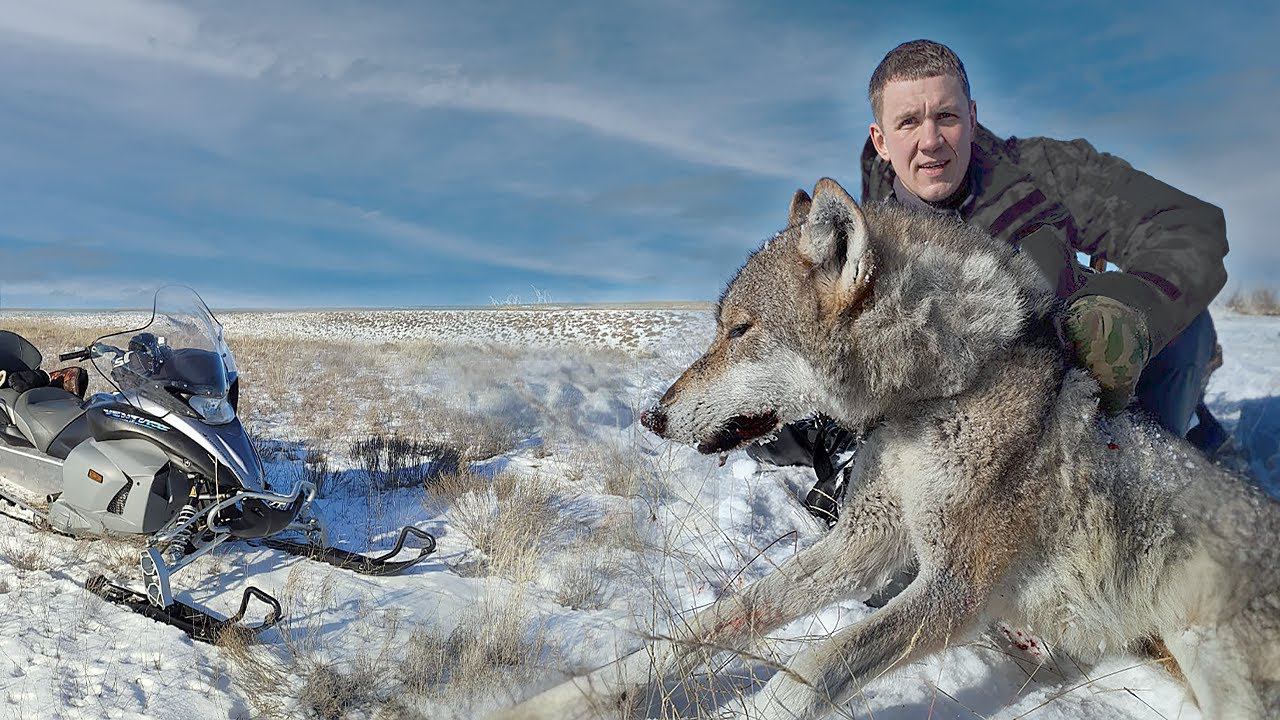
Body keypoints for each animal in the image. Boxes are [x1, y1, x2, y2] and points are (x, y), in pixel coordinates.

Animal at [493, 178, 1280, 719]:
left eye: (740, 330)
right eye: (719, 327)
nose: (653, 416)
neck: (937, 397)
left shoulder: (956, 588)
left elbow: (814, 666)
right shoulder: (865, 539)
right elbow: (709, 623)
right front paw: (557, 700)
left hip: (1205, 647)